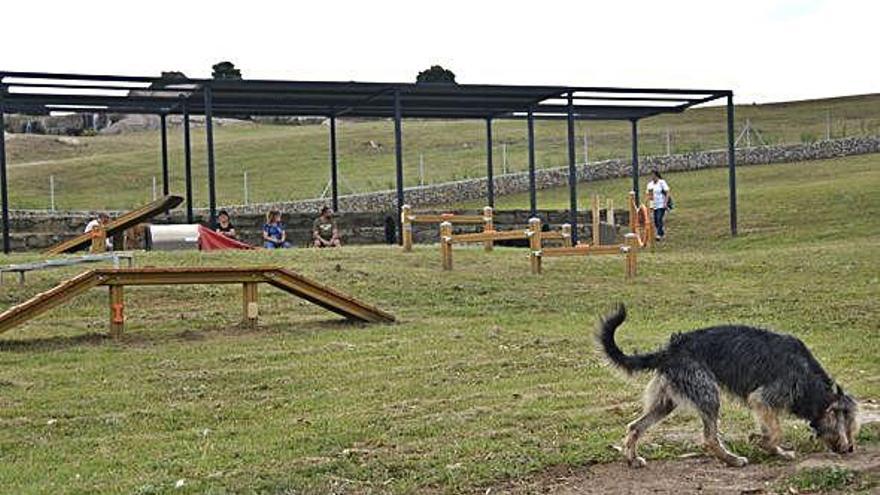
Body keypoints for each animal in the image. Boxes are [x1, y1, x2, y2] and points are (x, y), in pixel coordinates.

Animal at [600, 304, 860, 470]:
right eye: (847, 425)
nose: (850, 449)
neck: (809, 379)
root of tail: (670, 349)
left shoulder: (764, 406)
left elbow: (772, 430)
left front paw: (776, 450)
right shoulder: (761, 398)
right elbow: (776, 432)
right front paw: (762, 443)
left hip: (666, 403)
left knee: (635, 426)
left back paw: (632, 459)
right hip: (708, 394)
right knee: (709, 439)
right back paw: (732, 460)